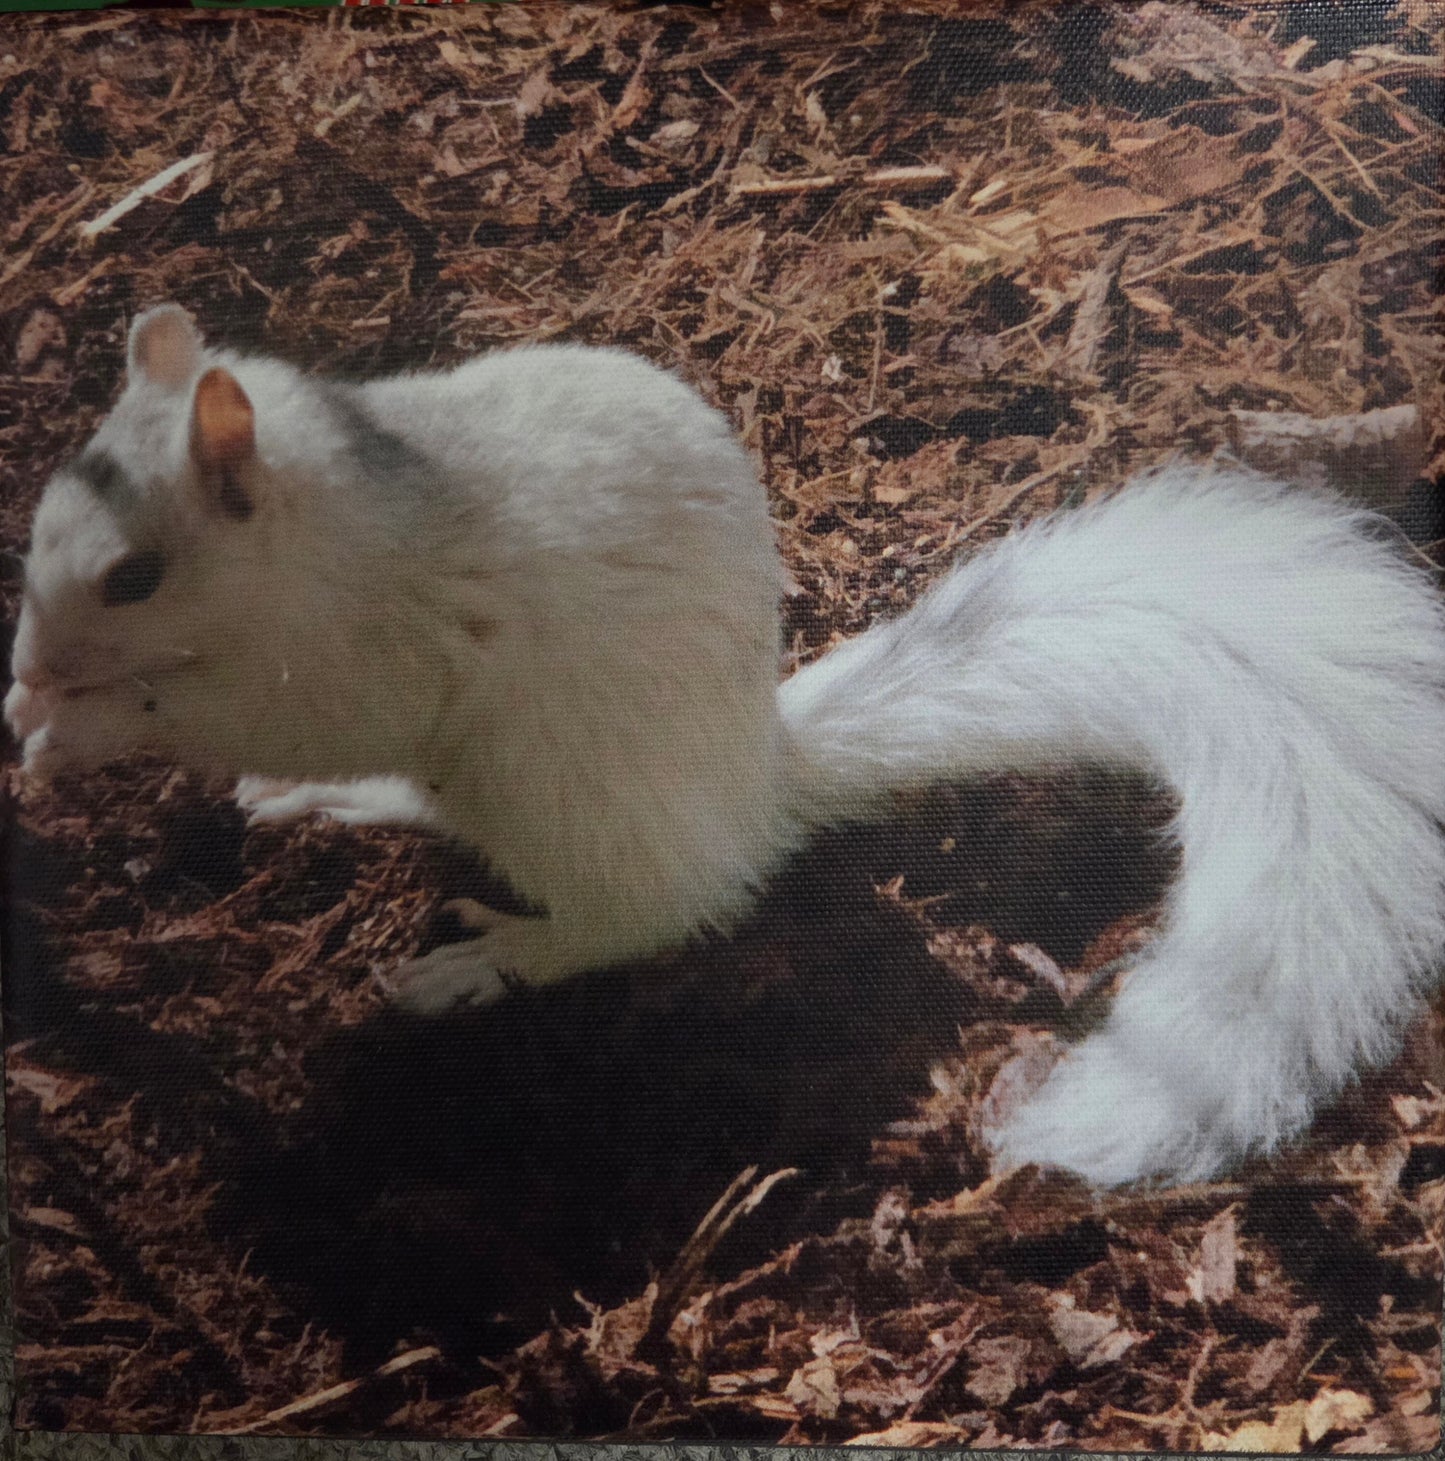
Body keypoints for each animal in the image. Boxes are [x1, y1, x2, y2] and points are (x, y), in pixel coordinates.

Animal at [6, 304, 1444, 1188]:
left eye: (134, 575)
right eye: (42, 513)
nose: (31, 664)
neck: (329, 523)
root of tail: (758, 789)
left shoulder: (366, 655)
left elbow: (236, 710)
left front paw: (68, 724)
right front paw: (29, 704)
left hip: (564, 802)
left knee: (649, 916)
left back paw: (484, 963)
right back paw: (349, 805)